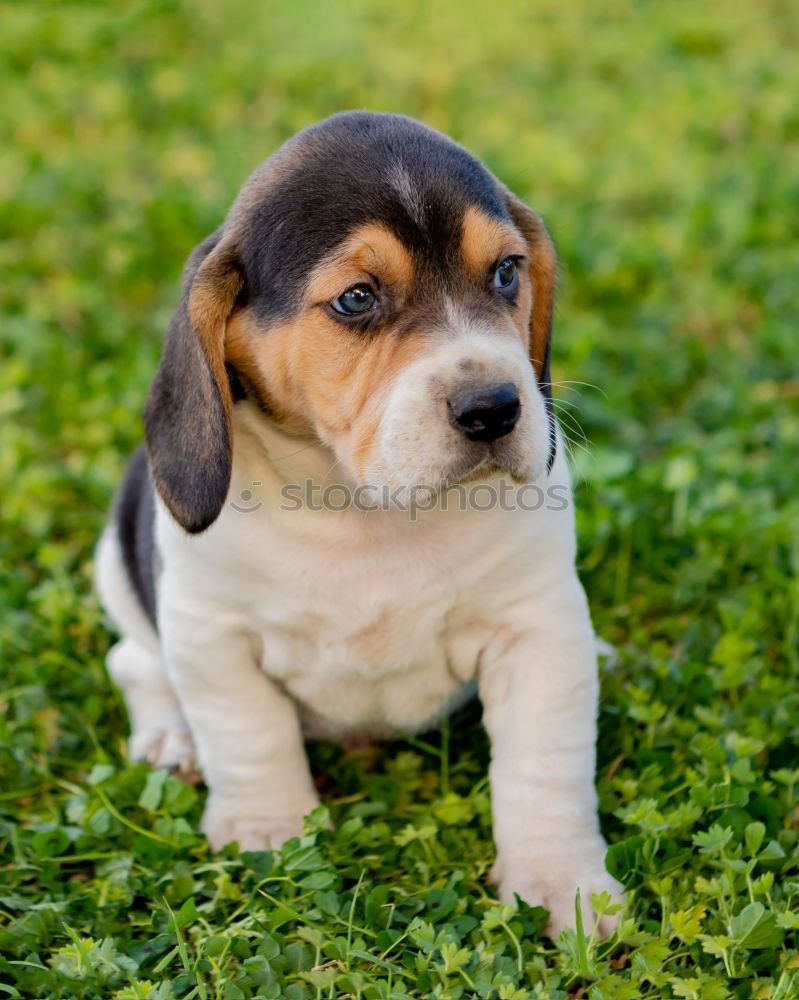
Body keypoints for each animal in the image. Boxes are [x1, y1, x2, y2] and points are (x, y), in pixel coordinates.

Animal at [97, 113, 624, 932]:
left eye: (507, 272)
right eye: (355, 299)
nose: (496, 408)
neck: (362, 509)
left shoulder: (534, 630)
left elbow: (544, 765)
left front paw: (560, 879)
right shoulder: (213, 633)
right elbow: (249, 732)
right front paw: (267, 832)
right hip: (119, 568)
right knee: (134, 662)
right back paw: (168, 736)